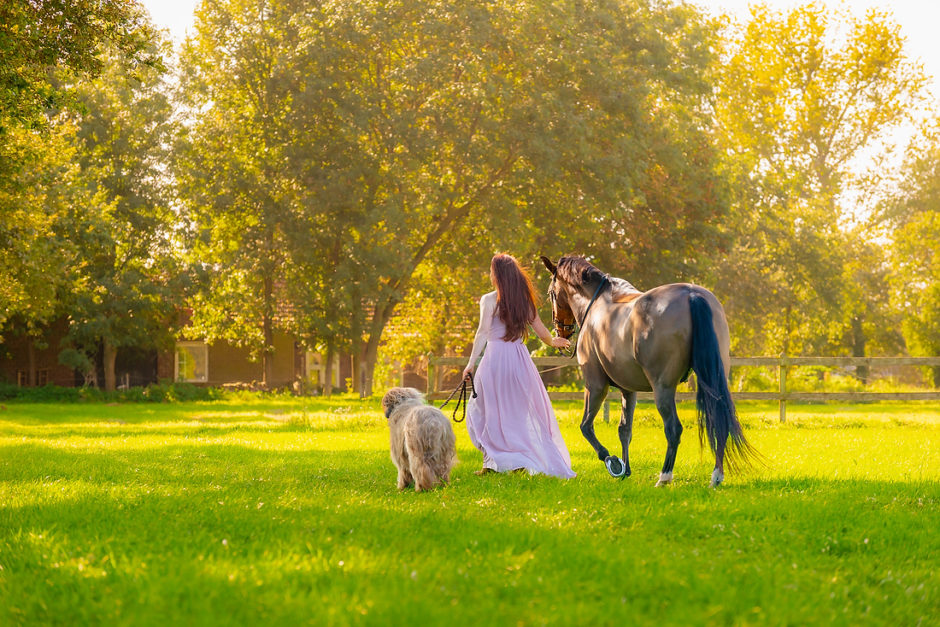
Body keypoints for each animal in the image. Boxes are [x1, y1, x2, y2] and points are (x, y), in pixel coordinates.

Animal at [540, 255, 752, 486]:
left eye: (551, 292)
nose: (561, 332)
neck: (596, 305)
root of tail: (692, 294)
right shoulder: (628, 390)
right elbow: (624, 429)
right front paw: (625, 471)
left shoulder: (595, 385)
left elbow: (586, 427)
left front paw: (613, 463)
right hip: (712, 380)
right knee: (719, 422)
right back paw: (716, 476)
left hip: (662, 388)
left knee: (673, 428)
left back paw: (664, 477)